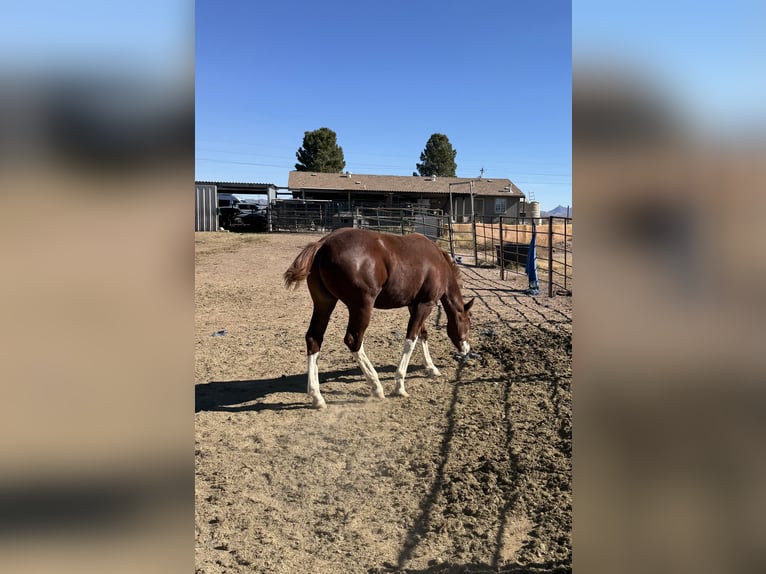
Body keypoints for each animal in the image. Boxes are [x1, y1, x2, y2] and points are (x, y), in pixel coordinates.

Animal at [284, 227, 474, 409]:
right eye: (468, 322)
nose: (466, 349)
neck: (438, 262)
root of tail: (323, 244)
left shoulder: (414, 305)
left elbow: (423, 334)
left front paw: (431, 368)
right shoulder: (425, 304)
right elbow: (411, 339)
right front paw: (399, 385)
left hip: (324, 303)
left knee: (314, 338)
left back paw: (317, 397)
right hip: (361, 307)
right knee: (353, 340)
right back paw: (376, 386)